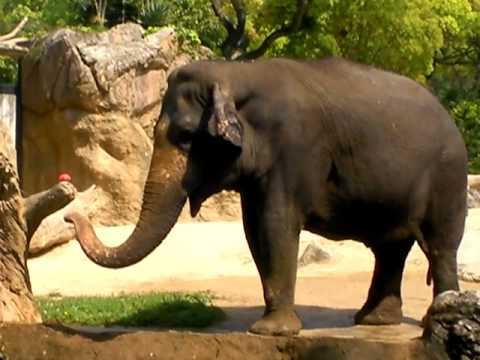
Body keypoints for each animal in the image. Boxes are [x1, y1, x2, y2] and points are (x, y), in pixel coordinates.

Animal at [65, 57, 466, 338]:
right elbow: (254, 230)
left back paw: (435, 318)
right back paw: (375, 321)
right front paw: (270, 327)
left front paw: (271, 332)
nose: (70, 214)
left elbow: (276, 225)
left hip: (447, 176)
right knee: (390, 249)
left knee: (439, 246)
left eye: (184, 136)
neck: (237, 73)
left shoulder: (294, 149)